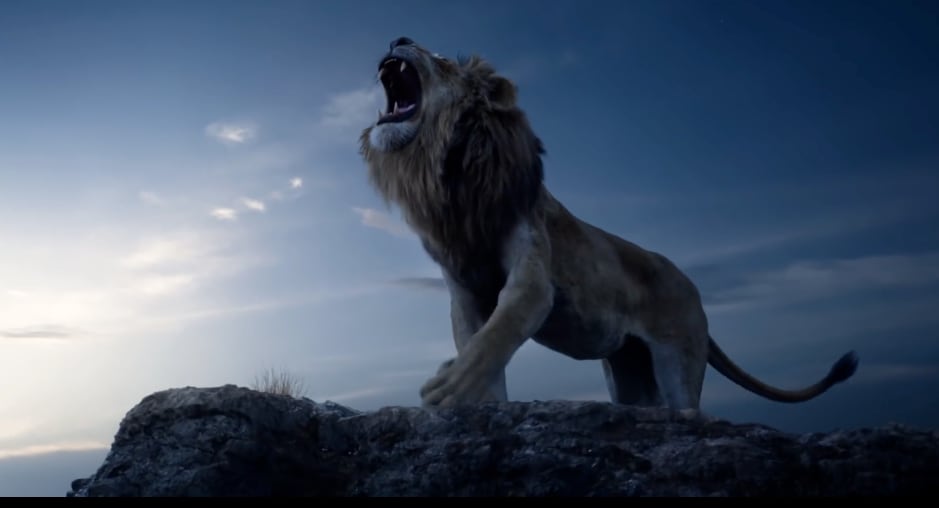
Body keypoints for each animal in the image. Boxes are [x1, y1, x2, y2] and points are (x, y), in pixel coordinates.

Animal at [359, 37, 859, 411]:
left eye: (441, 59)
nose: (398, 38)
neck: (448, 174)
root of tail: (692, 287)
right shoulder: (463, 291)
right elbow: (479, 344)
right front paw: (478, 402)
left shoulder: (533, 271)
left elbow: (498, 331)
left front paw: (449, 385)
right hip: (629, 372)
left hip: (679, 361)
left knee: (689, 409)